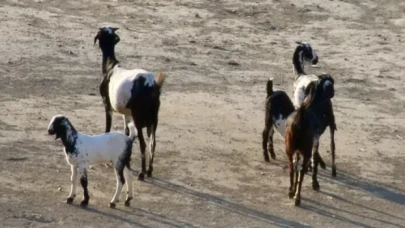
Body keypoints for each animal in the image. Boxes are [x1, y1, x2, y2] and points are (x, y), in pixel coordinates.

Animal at [94, 25, 165, 181]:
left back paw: (142, 173)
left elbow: (107, 128)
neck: (111, 67)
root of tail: (152, 85)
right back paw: (149, 170)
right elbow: (127, 133)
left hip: (139, 119)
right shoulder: (126, 114)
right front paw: (128, 161)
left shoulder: (107, 106)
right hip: (154, 119)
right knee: (153, 143)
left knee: (144, 144)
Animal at [284, 75, 334, 206]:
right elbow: (314, 163)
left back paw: (291, 191)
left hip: (290, 151)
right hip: (306, 151)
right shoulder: (315, 144)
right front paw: (314, 183)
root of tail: (300, 119)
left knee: (292, 169)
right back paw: (297, 197)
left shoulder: (297, 151)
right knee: (301, 172)